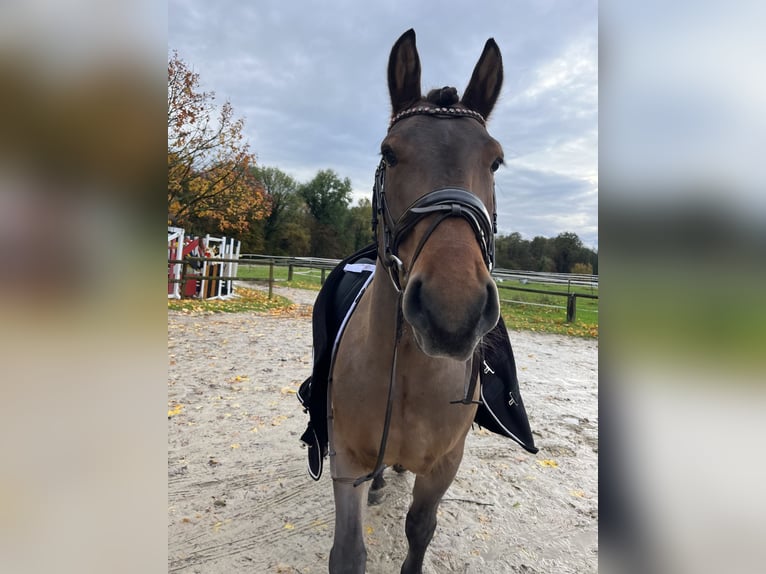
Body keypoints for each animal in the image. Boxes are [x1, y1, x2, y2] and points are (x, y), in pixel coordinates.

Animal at [327, 29, 505, 574]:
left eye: (495, 159)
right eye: (389, 153)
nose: (453, 312)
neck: (407, 370)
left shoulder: (445, 465)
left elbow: (420, 528)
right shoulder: (346, 459)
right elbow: (348, 552)